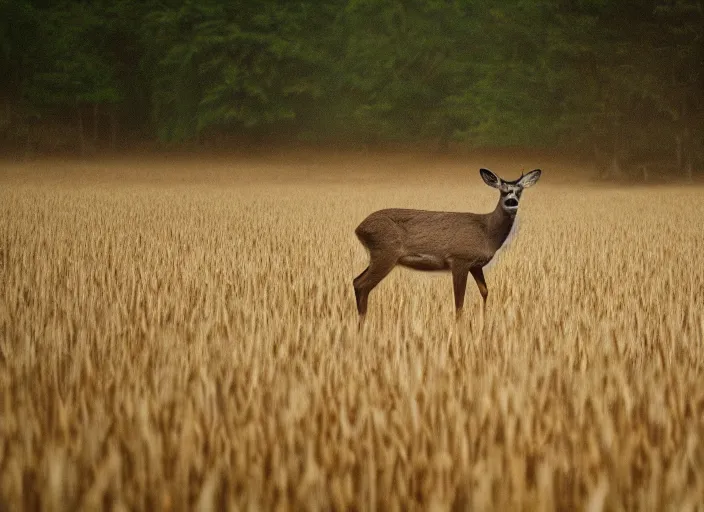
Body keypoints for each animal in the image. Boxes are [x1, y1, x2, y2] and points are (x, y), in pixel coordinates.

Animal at [352, 168, 544, 322]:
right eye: (502, 191)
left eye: (519, 190)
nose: (512, 202)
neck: (487, 232)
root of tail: (359, 228)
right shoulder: (459, 259)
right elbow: (459, 302)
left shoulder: (476, 265)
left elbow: (485, 291)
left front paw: (484, 321)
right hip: (385, 253)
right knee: (362, 284)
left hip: (379, 256)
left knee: (356, 281)